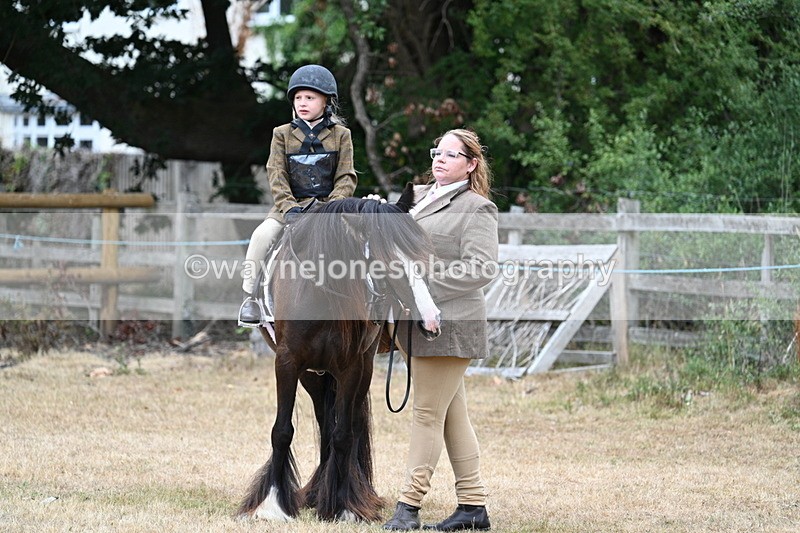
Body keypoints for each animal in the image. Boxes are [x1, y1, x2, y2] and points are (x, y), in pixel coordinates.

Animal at [237, 183, 441, 523]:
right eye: (387, 260)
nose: (431, 320)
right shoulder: (287, 363)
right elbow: (282, 431)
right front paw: (272, 505)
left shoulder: (351, 367)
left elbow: (344, 434)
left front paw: (345, 507)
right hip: (312, 375)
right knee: (323, 423)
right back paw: (317, 492)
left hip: (357, 370)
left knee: (347, 427)